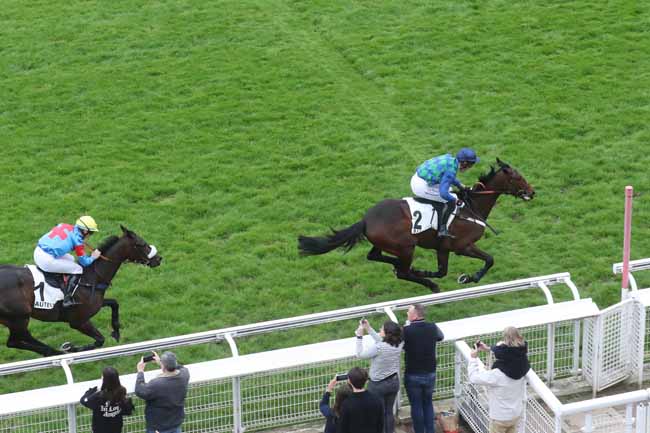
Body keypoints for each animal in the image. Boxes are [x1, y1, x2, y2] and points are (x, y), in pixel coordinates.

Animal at [0, 224, 161, 356]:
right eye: (141, 244)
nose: (159, 259)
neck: (92, 276)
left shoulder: (96, 303)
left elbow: (114, 303)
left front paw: (116, 331)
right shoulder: (79, 321)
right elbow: (99, 340)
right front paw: (73, 348)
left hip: (14, 319)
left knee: (18, 340)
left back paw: (52, 351)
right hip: (19, 318)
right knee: (15, 340)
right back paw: (56, 351)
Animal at [298, 157, 532, 292]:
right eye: (518, 177)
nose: (532, 191)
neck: (471, 207)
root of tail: (365, 219)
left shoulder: (443, 248)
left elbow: (443, 270)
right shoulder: (462, 246)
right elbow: (489, 260)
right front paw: (468, 277)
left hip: (389, 244)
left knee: (375, 256)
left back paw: (405, 268)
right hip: (406, 245)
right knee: (402, 271)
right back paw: (426, 282)